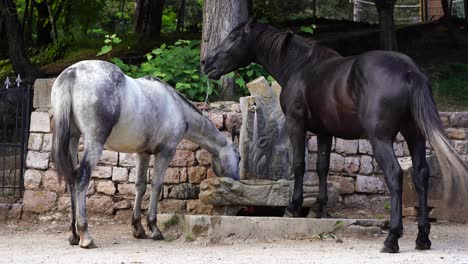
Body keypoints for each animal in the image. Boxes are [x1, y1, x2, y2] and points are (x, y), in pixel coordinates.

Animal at [51, 59, 241, 248]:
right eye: (238, 157)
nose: (237, 180)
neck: (177, 107)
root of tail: (73, 73)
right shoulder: (166, 153)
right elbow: (156, 185)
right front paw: (153, 228)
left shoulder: (142, 153)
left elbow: (140, 186)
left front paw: (138, 228)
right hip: (94, 143)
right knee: (82, 179)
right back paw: (85, 235)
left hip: (72, 139)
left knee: (72, 181)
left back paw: (74, 234)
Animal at [203, 21, 468, 254]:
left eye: (233, 37)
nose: (206, 63)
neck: (300, 67)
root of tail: (410, 71)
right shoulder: (324, 132)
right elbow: (322, 167)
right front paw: (320, 209)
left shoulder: (296, 124)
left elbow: (299, 165)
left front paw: (294, 207)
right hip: (414, 135)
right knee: (421, 175)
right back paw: (422, 238)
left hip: (381, 139)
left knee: (395, 175)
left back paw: (391, 239)